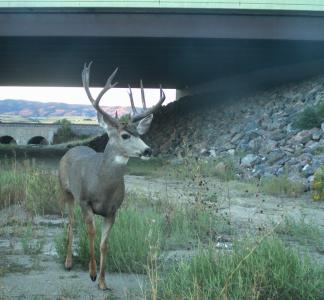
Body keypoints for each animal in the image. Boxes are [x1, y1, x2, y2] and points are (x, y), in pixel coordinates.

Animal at [58, 62, 165, 290]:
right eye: (125, 135)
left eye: (140, 134)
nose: (148, 150)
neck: (102, 186)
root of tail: (73, 149)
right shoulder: (85, 201)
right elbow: (90, 234)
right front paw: (91, 273)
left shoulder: (113, 210)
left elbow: (104, 244)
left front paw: (102, 282)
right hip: (65, 190)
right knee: (70, 222)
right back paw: (68, 262)